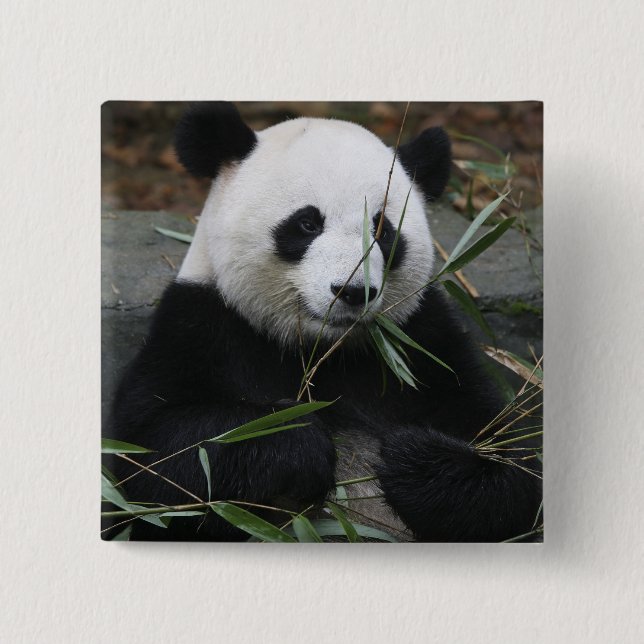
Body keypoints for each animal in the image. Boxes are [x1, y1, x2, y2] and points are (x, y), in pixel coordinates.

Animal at [108, 101, 541, 542]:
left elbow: (514, 463)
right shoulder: (201, 325)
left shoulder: (423, 341)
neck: (323, 351)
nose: (352, 291)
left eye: (382, 229)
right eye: (307, 223)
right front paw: (297, 441)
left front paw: (410, 458)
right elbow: (157, 459)